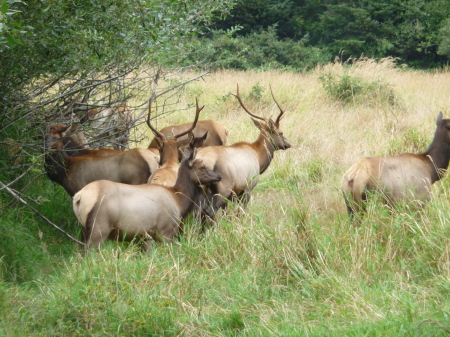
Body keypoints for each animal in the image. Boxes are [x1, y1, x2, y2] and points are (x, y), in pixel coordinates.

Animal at [73, 148, 222, 251]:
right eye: (202, 167)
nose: (219, 176)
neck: (178, 200)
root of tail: (79, 197)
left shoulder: (146, 236)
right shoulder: (165, 231)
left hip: (85, 230)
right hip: (98, 229)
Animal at [197, 85, 292, 219]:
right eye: (281, 132)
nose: (288, 144)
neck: (258, 156)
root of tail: (204, 160)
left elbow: (227, 213)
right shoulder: (247, 187)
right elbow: (241, 212)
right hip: (223, 188)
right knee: (210, 211)